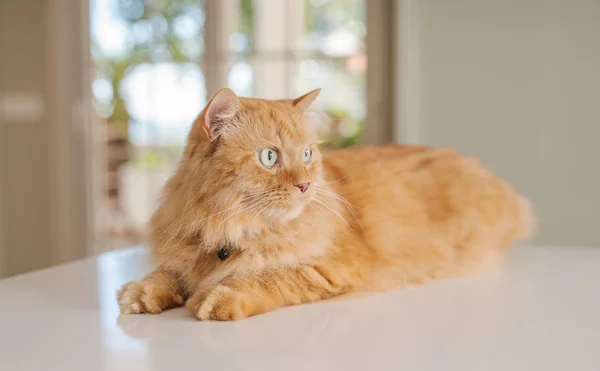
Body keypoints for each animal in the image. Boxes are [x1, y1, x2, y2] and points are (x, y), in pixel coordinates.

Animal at [117, 88, 536, 322]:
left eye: (306, 154)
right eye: (269, 157)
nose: (305, 185)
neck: (231, 231)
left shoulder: (332, 269)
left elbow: (266, 277)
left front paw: (218, 297)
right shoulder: (184, 252)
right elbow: (166, 275)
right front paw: (141, 293)